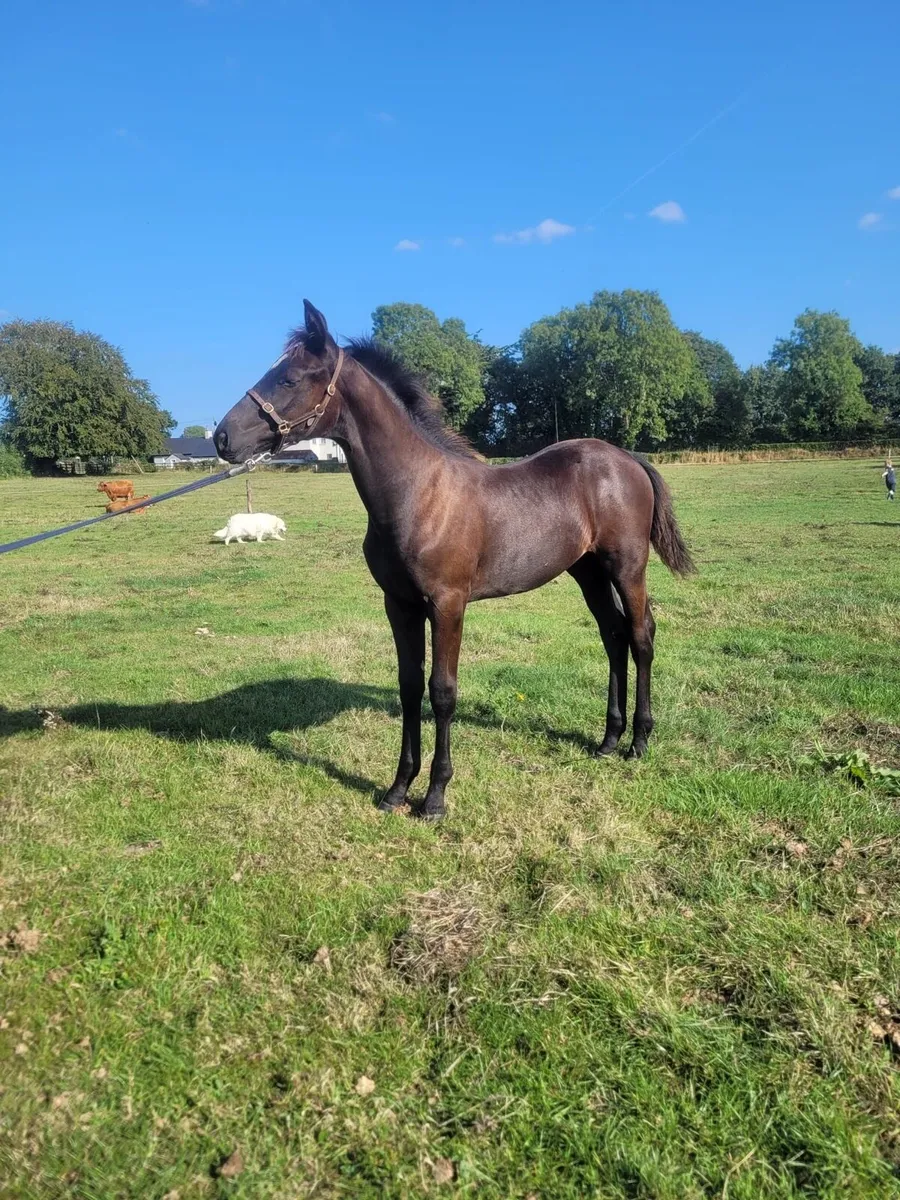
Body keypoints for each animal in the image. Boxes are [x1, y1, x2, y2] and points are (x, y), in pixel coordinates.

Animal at [213, 301, 695, 820]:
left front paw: (435, 797)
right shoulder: (399, 604)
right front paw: (397, 789)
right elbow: (409, 687)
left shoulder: (448, 604)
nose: (222, 437)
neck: (418, 494)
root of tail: (626, 457)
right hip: (586, 571)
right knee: (613, 635)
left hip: (626, 566)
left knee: (641, 634)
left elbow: (442, 692)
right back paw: (608, 739)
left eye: (289, 378)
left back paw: (639, 742)